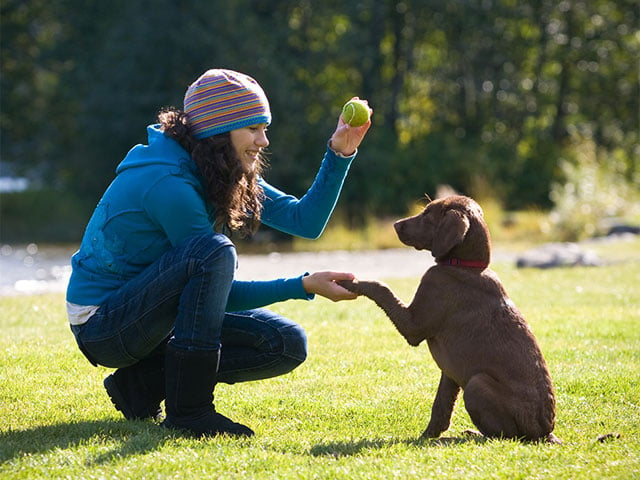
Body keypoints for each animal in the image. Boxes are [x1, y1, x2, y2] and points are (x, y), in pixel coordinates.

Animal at [340, 194, 560, 442]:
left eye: (428, 214)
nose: (395, 224)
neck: (466, 266)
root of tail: (545, 433)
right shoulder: (450, 371)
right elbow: (441, 406)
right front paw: (428, 435)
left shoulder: (413, 326)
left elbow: (381, 288)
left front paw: (350, 282)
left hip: (476, 384)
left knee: (504, 436)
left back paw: (473, 434)